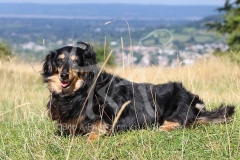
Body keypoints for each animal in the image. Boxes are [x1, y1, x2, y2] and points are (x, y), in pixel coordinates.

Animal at [41, 41, 234, 140]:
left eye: (77, 61)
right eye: (59, 60)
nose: (64, 75)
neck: (80, 91)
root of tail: (192, 99)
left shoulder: (105, 122)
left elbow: (94, 134)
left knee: (179, 122)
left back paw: (162, 127)